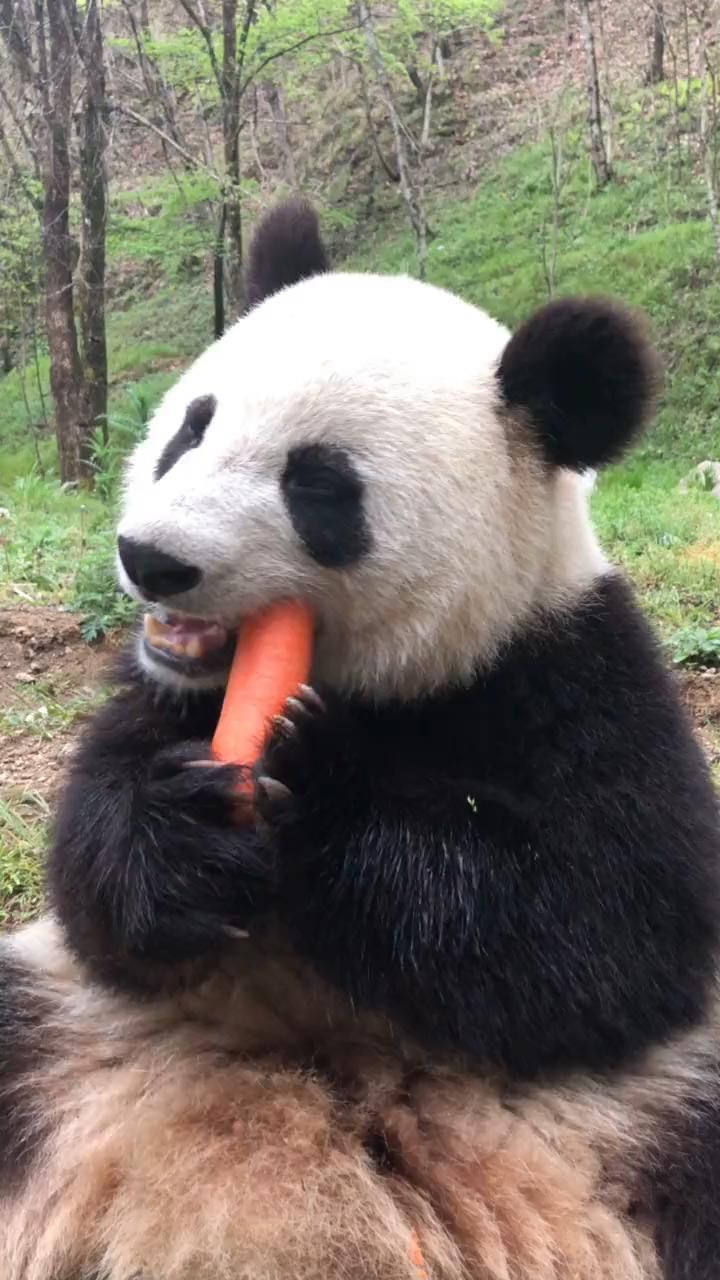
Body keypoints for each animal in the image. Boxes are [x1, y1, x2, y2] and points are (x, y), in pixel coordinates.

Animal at [1, 199, 717, 1280]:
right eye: (192, 427)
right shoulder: (164, 698)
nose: (152, 558)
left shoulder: (575, 674)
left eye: (319, 485)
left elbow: (609, 926)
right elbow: (98, 885)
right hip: (63, 1042)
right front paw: (188, 833)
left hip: (644, 1114)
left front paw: (317, 776)